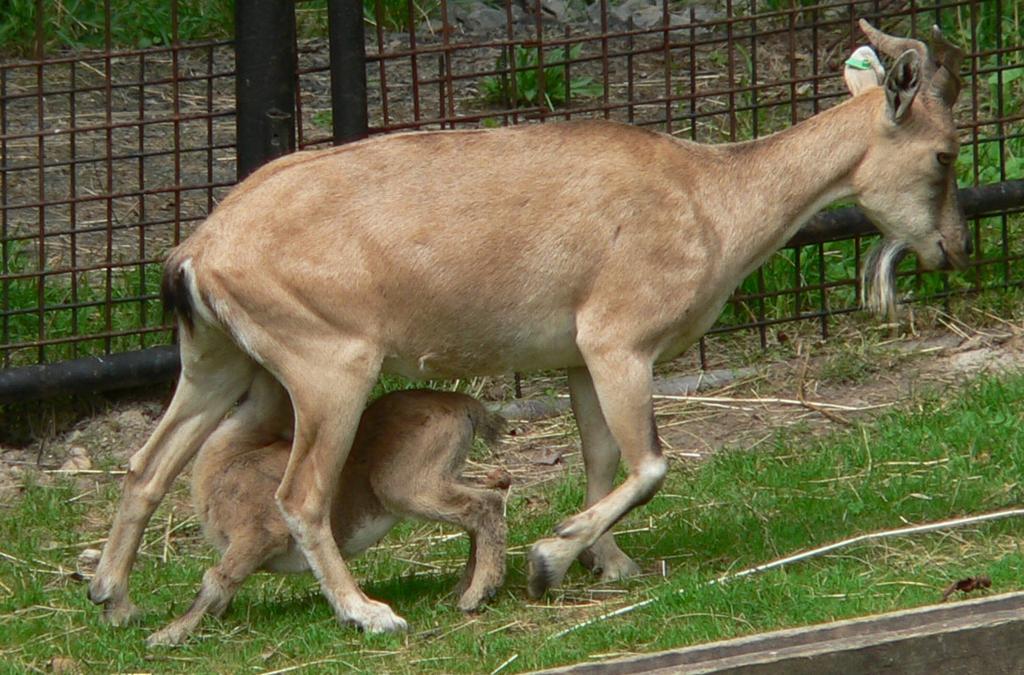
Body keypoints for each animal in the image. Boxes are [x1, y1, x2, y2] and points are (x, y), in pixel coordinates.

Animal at [146, 381, 505, 651]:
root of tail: (466, 407)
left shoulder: (255, 536)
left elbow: (217, 579)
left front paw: (165, 636)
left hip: (410, 488)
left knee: (485, 505)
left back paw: (474, 596)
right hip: (443, 478)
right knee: (491, 495)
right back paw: (464, 588)